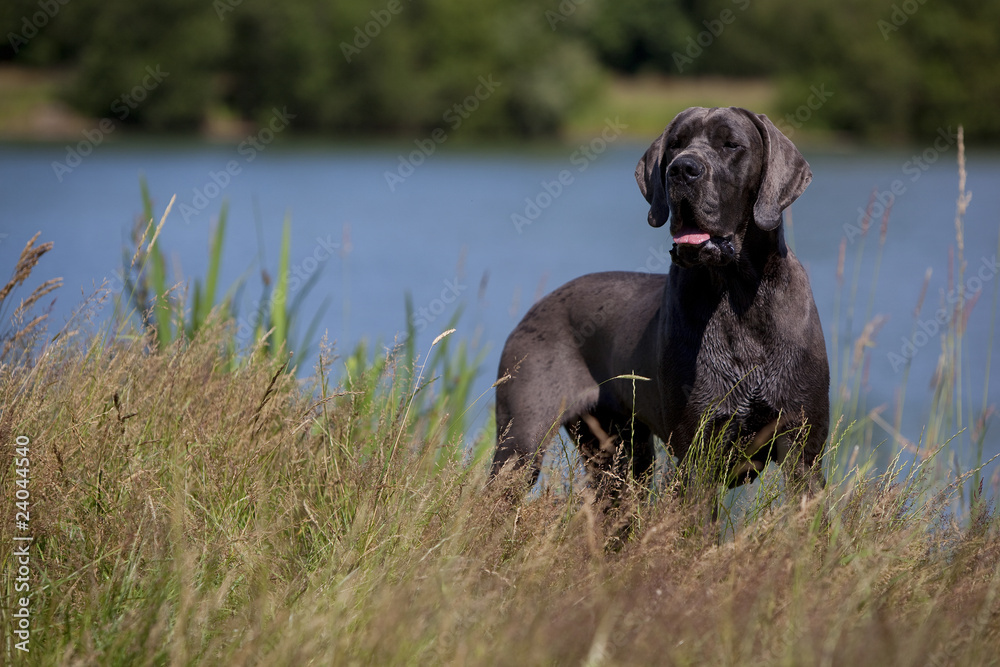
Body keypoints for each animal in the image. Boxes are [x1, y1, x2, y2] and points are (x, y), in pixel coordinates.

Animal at [490, 106, 829, 504]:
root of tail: (536, 305)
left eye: (731, 144)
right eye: (676, 145)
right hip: (522, 443)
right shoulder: (698, 455)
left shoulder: (803, 450)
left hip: (621, 455)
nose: (682, 169)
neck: (735, 292)